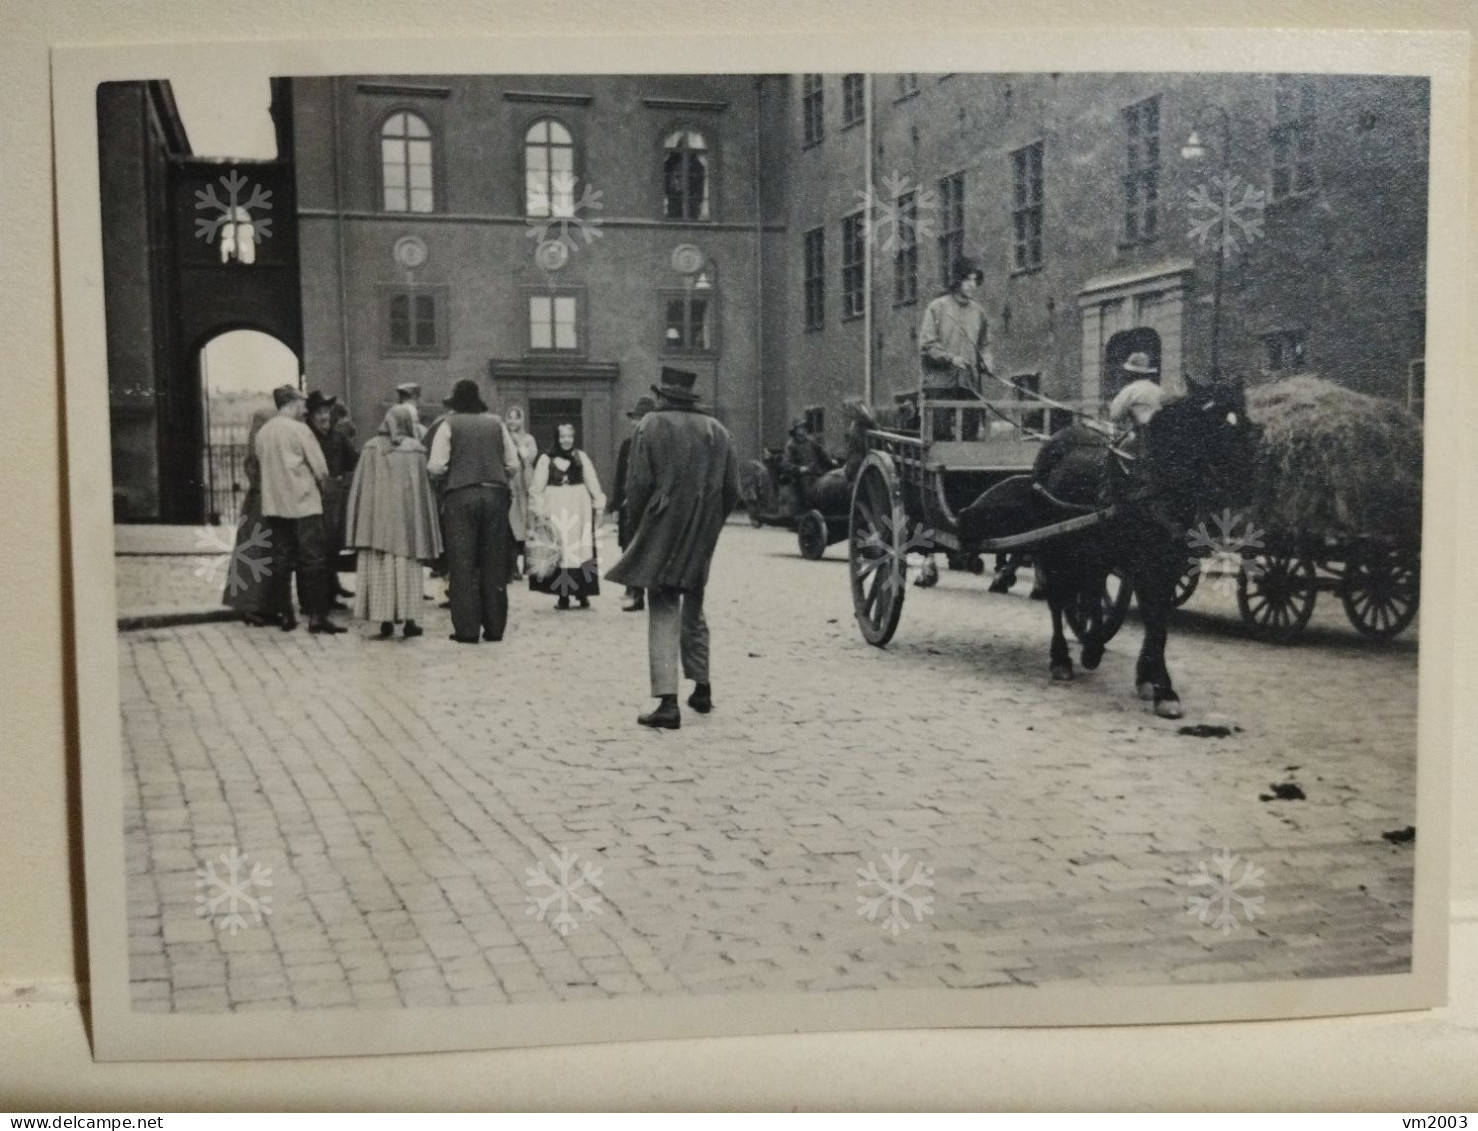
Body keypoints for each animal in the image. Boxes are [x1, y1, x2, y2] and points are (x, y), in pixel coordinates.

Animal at [951, 377, 1253, 715]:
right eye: (1210, 424)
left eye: (1244, 421)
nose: (1247, 485)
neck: (1152, 484)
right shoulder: (1143, 565)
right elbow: (1153, 618)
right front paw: (1162, 687)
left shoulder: (1170, 566)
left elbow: (1157, 621)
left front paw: (1148, 679)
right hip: (1054, 547)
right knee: (1057, 598)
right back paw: (1063, 657)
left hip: (1090, 552)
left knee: (1089, 593)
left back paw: (1091, 642)